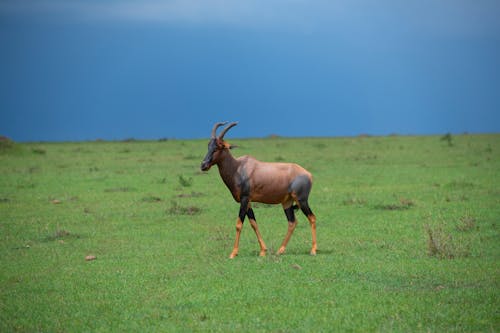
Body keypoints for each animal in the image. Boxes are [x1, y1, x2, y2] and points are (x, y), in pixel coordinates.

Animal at [199, 120, 316, 258]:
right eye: (208, 146)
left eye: (218, 147)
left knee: (312, 218)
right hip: (287, 202)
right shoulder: (248, 201)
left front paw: (233, 253)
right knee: (292, 222)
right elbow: (253, 223)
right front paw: (263, 251)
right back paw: (280, 250)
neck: (238, 167)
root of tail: (308, 174)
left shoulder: (244, 199)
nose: (203, 165)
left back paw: (313, 250)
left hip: (301, 200)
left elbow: (239, 224)